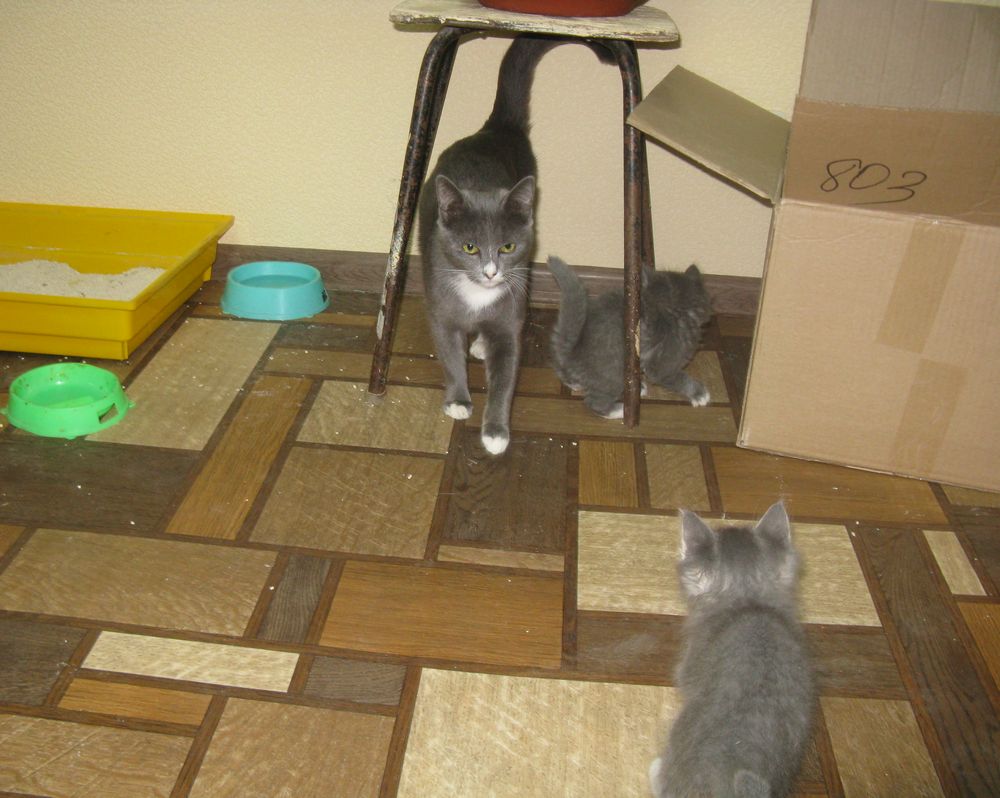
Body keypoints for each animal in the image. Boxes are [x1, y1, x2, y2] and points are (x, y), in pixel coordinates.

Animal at [418, 36, 559, 456]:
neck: (477, 297)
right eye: (469, 248)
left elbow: (505, 378)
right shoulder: (441, 311)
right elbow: (450, 355)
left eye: (508, 246)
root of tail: (495, 129)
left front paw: (496, 432)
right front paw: (458, 400)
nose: (492, 271)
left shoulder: (509, 321)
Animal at [546, 256, 713, 418]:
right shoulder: (663, 365)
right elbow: (676, 377)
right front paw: (699, 394)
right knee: (594, 402)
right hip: (615, 375)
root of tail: (571, 353)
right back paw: (619, 410)